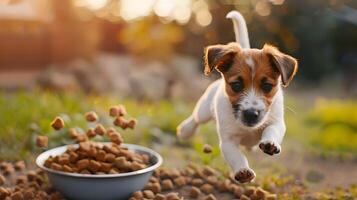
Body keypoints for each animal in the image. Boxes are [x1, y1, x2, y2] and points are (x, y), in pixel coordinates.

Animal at [177, 10, 296, 183]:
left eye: (267, 86)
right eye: (237, 85)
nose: (251, 114)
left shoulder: (277, 122)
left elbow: (272, 130)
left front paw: (270, 143)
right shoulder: (228, 141)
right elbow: (236, 156)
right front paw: (242, 171)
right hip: (204, 108)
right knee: (196, 118)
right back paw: (186, 130)